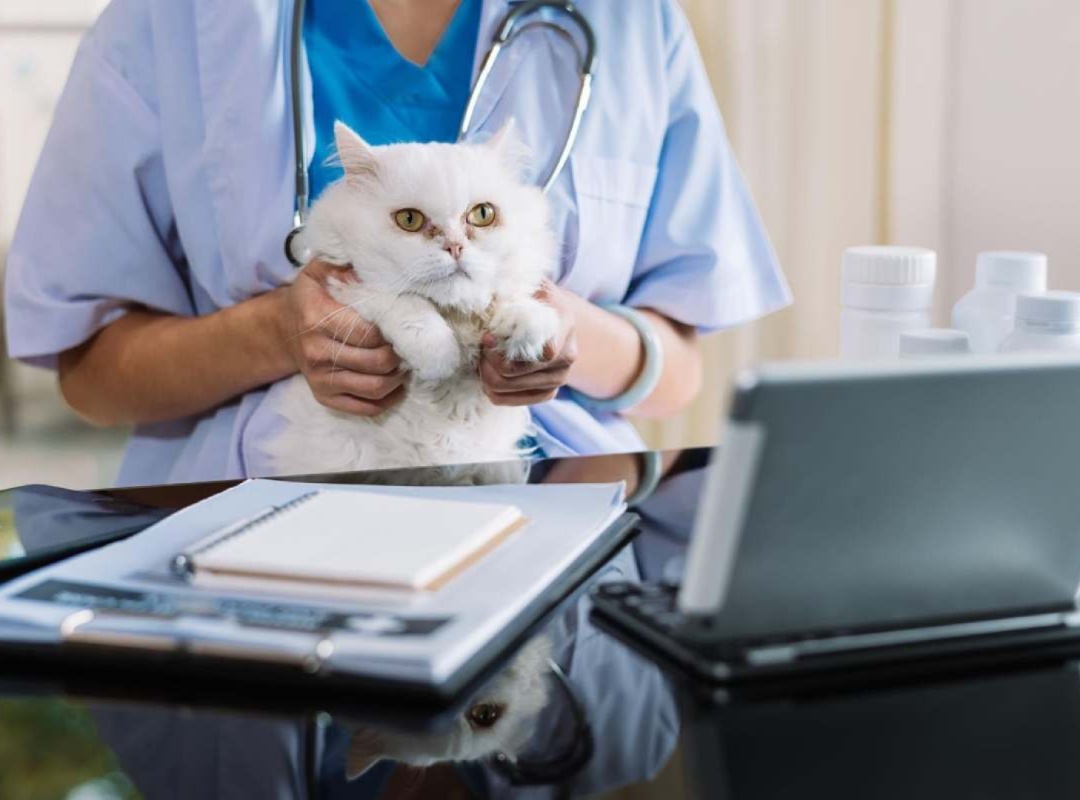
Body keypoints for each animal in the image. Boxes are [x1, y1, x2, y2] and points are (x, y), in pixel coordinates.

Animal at [262, 120, 561, 475]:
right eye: (409, 220)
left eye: (482, 214)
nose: (455, 246)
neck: (455, 319)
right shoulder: (345, 285)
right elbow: (404, 303)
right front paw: (438, 356)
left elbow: (509, 299)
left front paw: (523, 328)